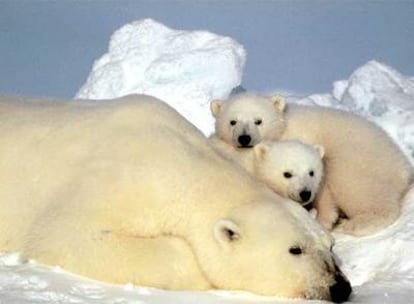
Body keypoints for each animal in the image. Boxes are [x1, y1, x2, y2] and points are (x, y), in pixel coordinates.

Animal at [212, 92, 412, 235]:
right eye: (232, 121)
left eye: (258, 121)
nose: (244, 138)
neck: (284, 128)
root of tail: (403, 166)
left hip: (360, 159)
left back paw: (356, 224)